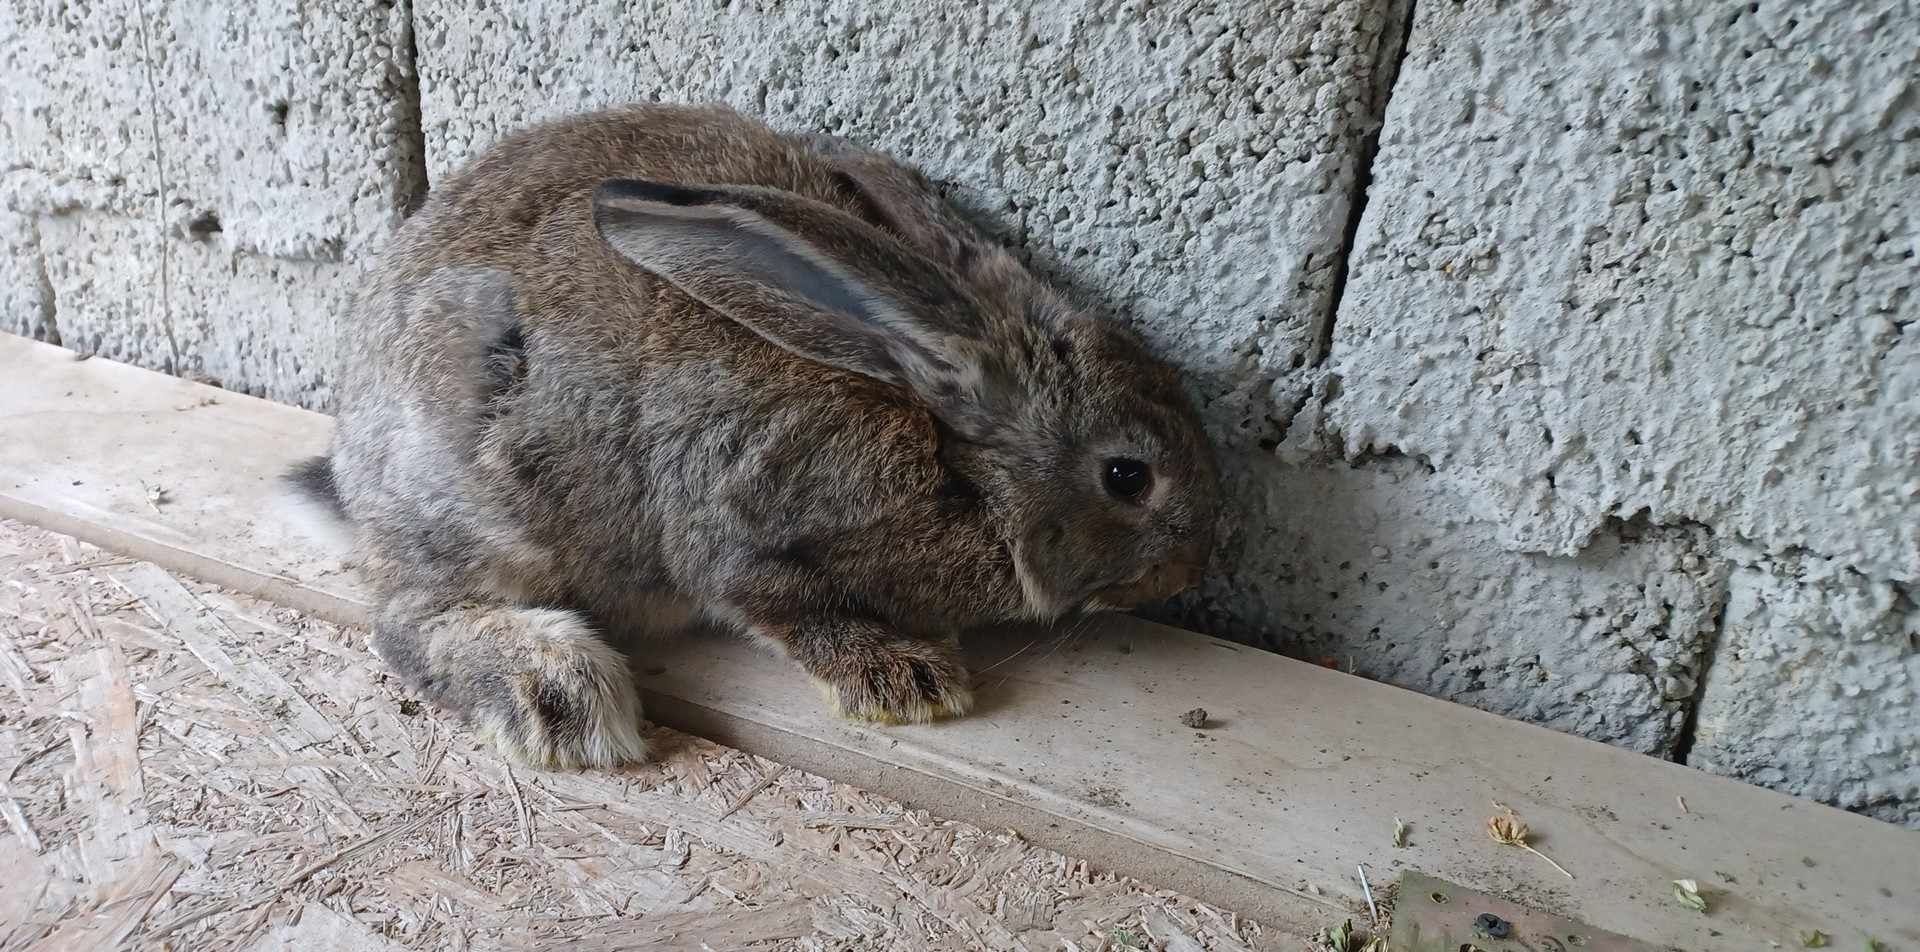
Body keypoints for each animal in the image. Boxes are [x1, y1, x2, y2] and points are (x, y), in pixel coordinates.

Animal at [284, 104, 1213, 771]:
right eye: (1128, 477)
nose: (1191, 565)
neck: (963, 463)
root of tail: (354, 471)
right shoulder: (741, 522)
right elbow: (776, 602)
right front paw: (906, 677)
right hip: (480, 511)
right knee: (406, 620)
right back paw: (558, 691)